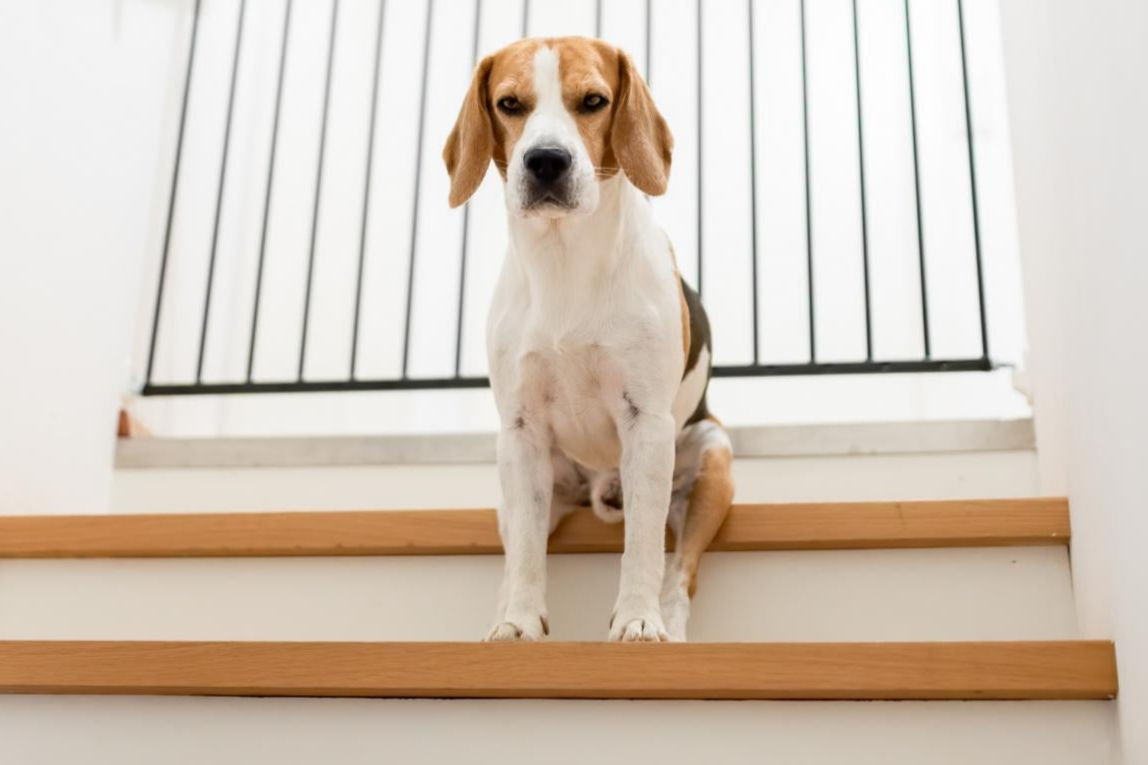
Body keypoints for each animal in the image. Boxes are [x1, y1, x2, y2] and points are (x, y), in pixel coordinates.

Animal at [443, 38, 730, 638]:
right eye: (509, 104)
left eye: (593, 100)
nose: (546, 160)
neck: (564, 259)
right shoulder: (520, 430)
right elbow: (527, 558)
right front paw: (519, 626)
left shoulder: (647, 425)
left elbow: (643, 547)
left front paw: (638, 622)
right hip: (516, 485)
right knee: (513, 556)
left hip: (714, 459)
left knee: (681, 572)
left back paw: (671, 628)